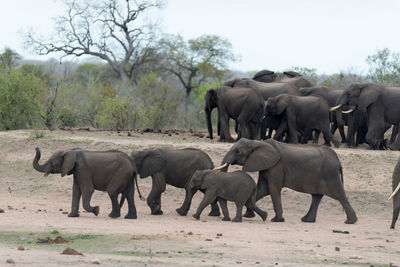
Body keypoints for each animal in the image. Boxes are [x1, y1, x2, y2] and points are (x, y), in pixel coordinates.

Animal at [217, 138, 358, 224]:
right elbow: (262, 190)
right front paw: (249, 215)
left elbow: (273, 189)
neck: (258, 143)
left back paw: (350, 221)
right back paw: (307, 220)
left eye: (237, 151)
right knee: (316, 197)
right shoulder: (267, 166)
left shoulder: (276, 167)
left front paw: (276, 220)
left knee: (339, 195)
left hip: (330, 174)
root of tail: (338, 161)